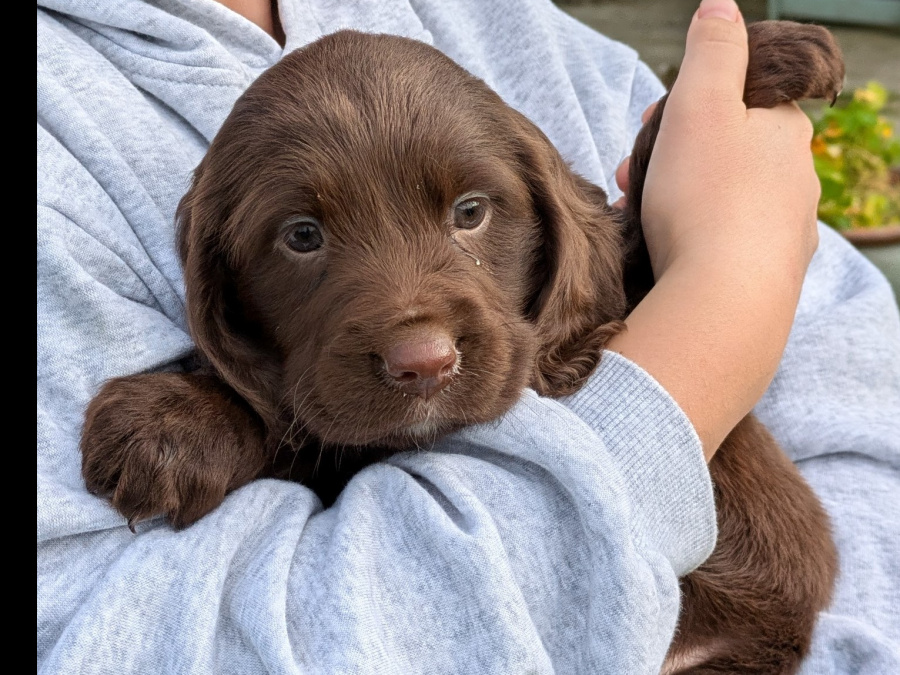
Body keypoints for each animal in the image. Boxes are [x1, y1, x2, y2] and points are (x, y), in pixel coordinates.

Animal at [82, 23, 844, 672]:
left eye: (471, 212)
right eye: (301, 235)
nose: (424, 363)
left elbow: (643, 238)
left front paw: (761, 61)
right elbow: (289, 419)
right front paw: (171, 422)